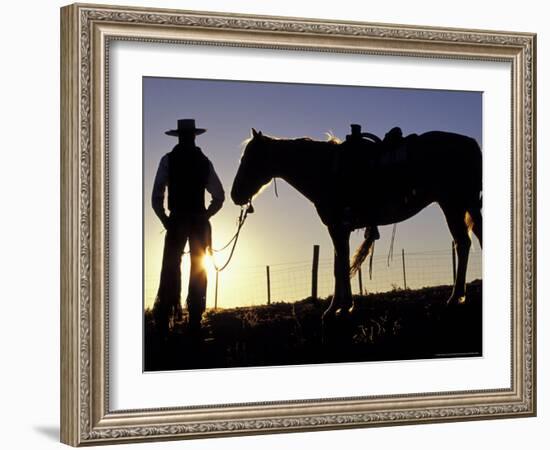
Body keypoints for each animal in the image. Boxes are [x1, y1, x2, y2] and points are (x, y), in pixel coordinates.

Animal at [233, 129, 484, 320]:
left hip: (452, 204)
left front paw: (338, 308)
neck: (325, 170)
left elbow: (341, 267)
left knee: (462, 243)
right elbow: (340, 265)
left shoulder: (337, 227)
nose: (235, 195)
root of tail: (470, 143)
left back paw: (455, 297)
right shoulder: (340, 229)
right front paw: (340, 307)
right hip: (468, 205)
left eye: (249, 159)